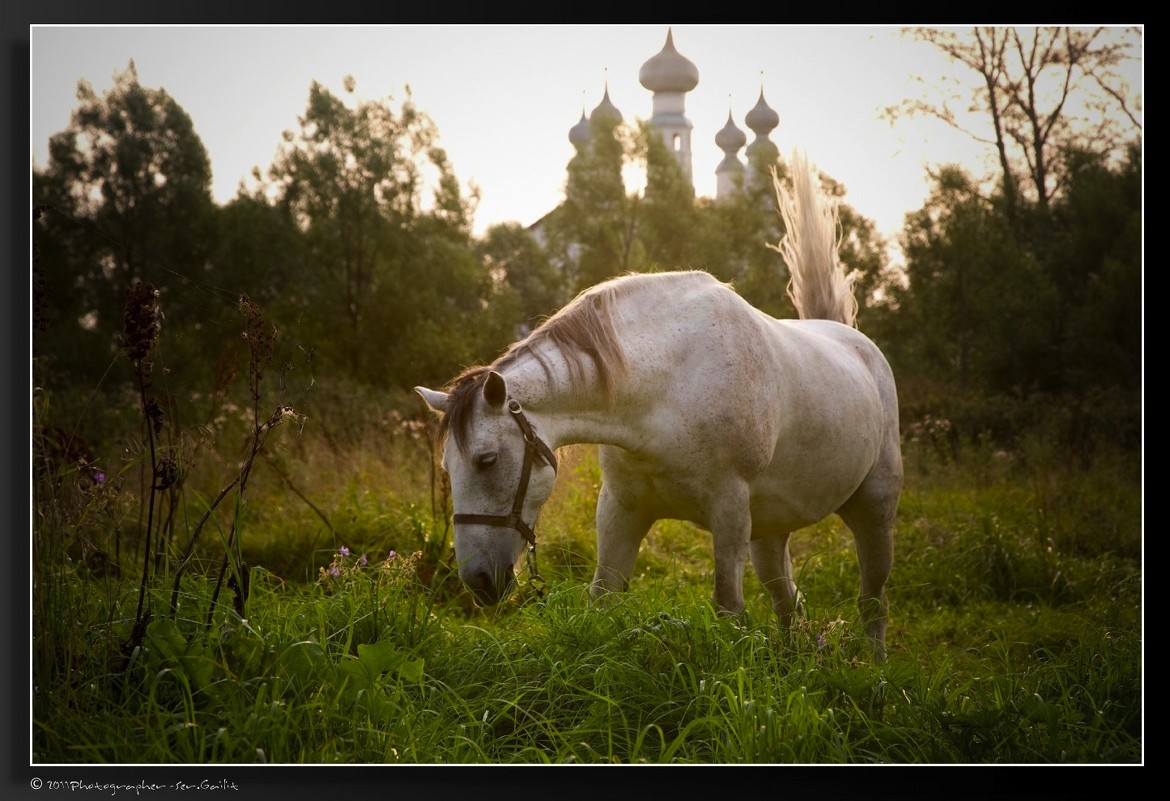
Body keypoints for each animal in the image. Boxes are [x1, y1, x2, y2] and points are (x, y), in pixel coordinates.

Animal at [421, 153, 903, 659]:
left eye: (487, 460)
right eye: (447, 468)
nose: (477, 581)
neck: (666, 386)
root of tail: (855, 343)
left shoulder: (729, 510)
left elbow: (728, 606)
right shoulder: (622, 509)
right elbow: (603, 597)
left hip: (873, 511)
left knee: (873, 599)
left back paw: (874, 665)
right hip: (770, 531)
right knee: (788, 601)